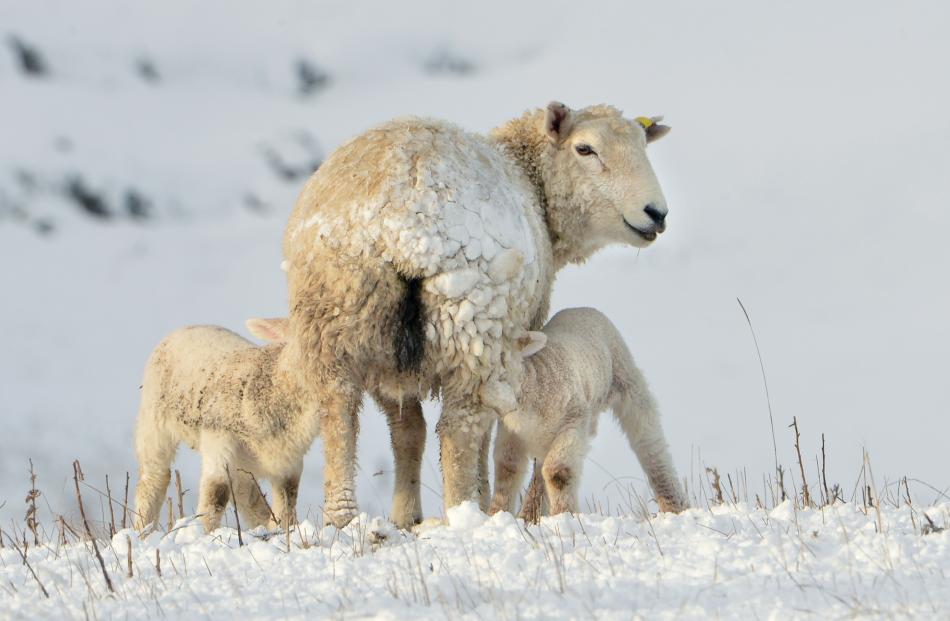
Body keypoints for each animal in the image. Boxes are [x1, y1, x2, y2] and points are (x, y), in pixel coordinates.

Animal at [134, 318, 316, 532]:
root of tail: (188, 326)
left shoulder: (291, 460)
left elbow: (288, 498)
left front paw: (284, 530)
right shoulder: (220, 440)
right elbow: (217, 493)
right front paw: (204, 532)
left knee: (246, 491)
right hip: (154, 421)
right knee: (154, 477)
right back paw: (142, 529)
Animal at [490, 306, 684, 520]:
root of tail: (582, 308)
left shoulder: (574, 420)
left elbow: (558, 472)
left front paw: (564, 516)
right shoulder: (510, 432)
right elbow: (507, 469)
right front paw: (496, 515)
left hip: (627, 380)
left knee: (649, 443)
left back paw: (673, 505)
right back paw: (530, 515)